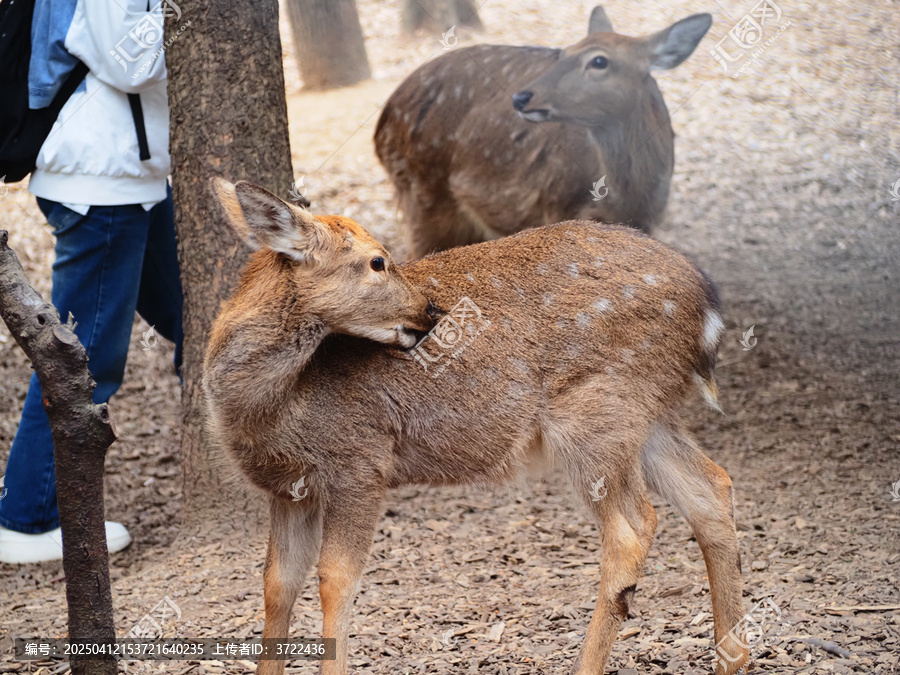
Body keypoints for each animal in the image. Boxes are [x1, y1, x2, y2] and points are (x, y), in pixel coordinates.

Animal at [203, 179, 749, 675]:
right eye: (378, 262)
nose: (430, 309)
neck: (276, 409)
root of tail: (708, 308)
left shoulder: (360, 462)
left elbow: (335, 581)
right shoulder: (288, 490)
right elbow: (277, 584)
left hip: (593, 410)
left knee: (633, 527)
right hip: (643, 412)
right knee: (711, 487)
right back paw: (732, 659)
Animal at [374, 7, 712, 259]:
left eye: (599, 60)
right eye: (563, 53)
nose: (522, 97)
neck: (627, 200)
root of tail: (383, 124)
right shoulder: (556, 205)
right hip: (423, 190)